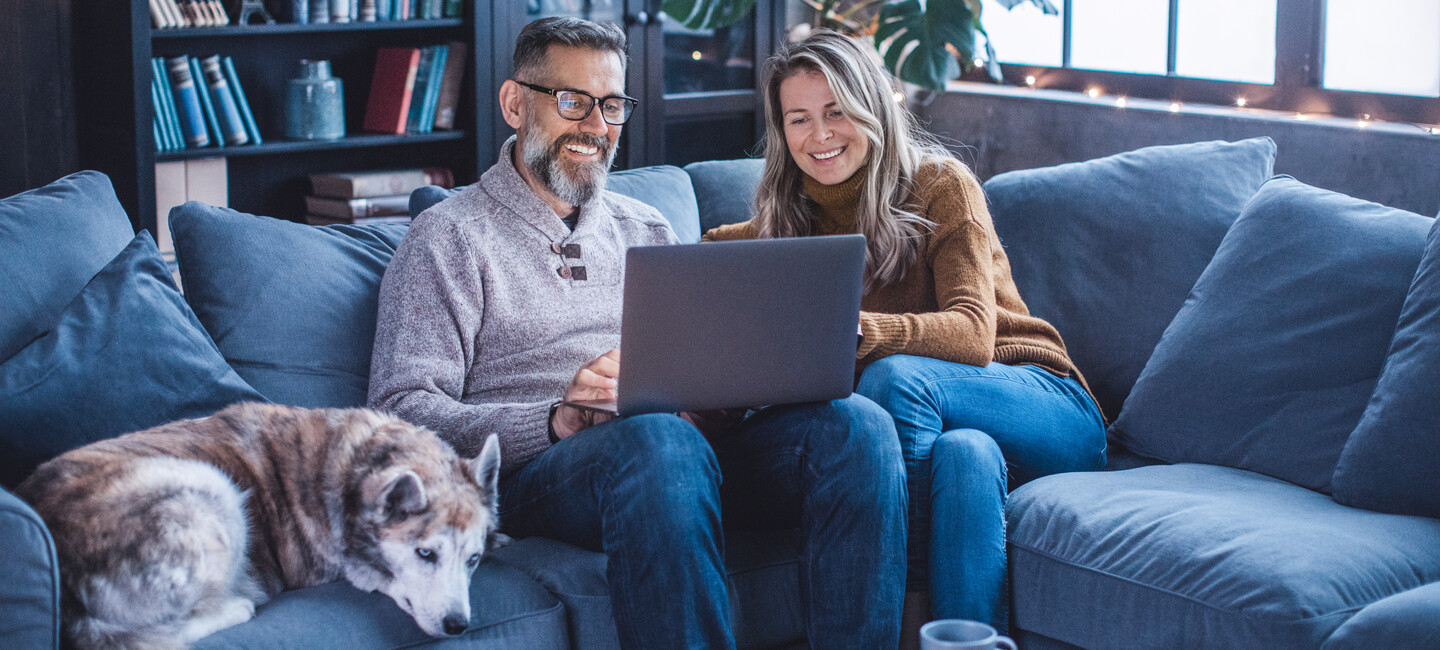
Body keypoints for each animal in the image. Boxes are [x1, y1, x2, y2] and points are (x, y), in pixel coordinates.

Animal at [12, 403, 501, 648]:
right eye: (425, 553)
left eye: (474, 560)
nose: (459, 625)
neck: (358, 465)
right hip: (210, 490)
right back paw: (238, 605)